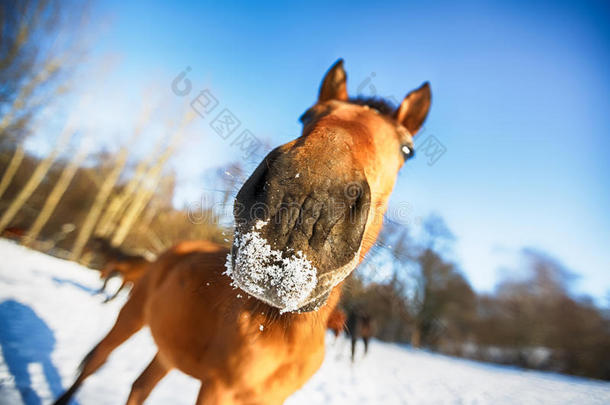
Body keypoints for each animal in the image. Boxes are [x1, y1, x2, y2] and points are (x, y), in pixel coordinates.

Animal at [54, 60, 430, 404]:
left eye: (407, 150)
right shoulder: (218, 390)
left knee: (140, 386)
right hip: (130, 315)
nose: (301, 206)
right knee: (97, 359)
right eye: (307, 115)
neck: (279, 331)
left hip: (168, 352)